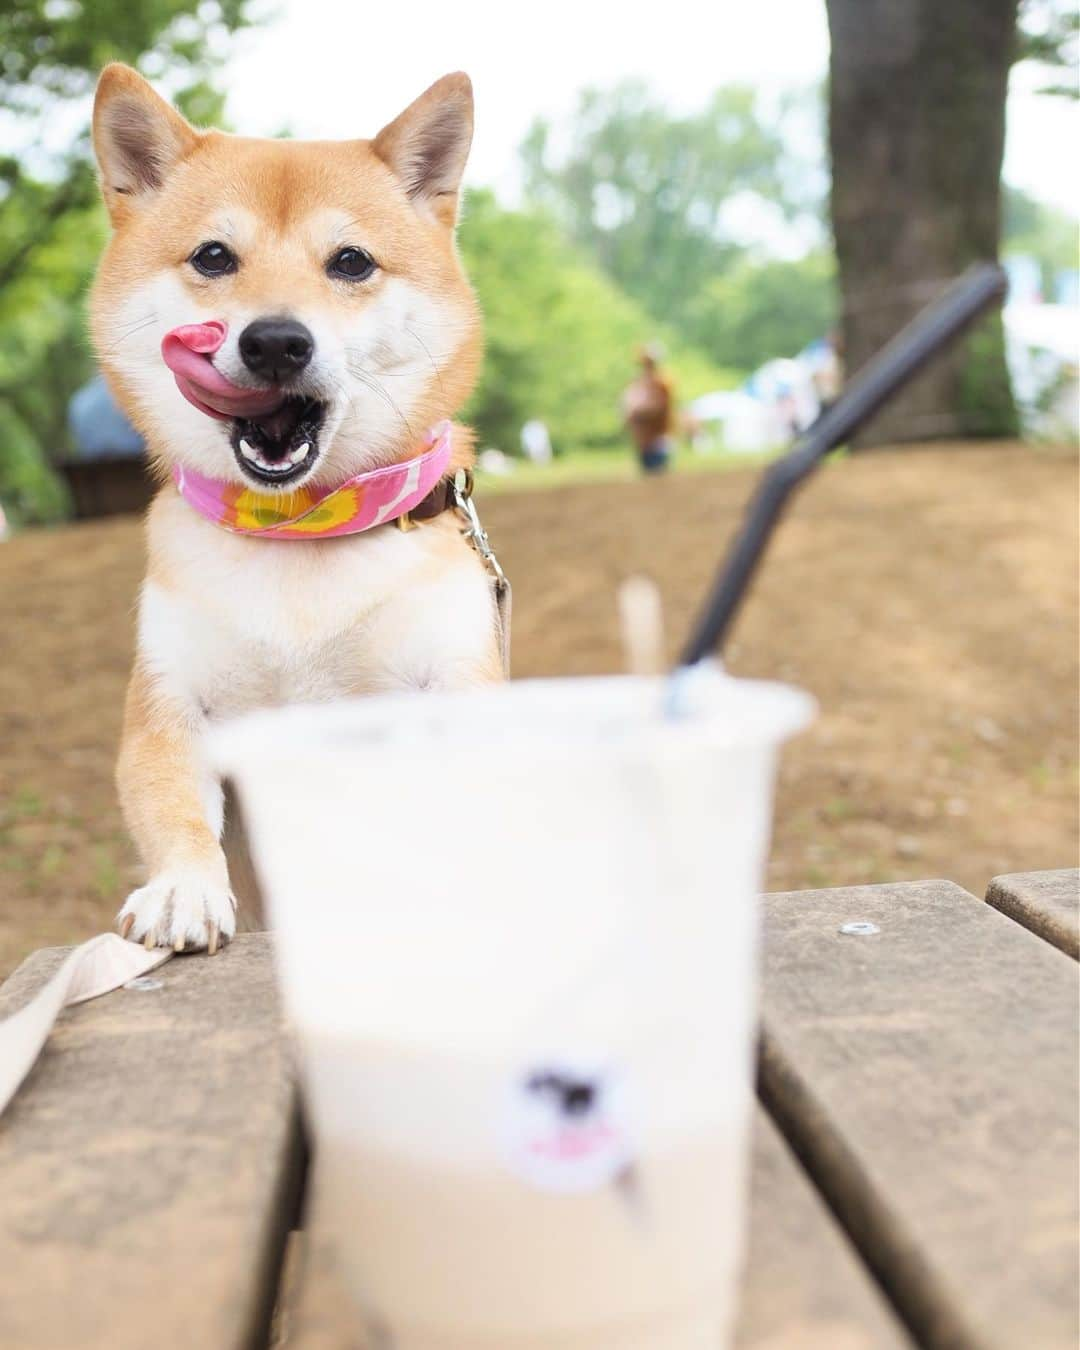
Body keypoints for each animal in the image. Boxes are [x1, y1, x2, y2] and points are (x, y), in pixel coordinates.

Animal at [90, 63, 504, 950]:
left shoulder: (453, 681)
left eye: (350, 262)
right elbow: (174, 811)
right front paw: (183, 888)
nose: (276, 340)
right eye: (214, 256)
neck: (296, 533)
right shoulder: (169, 708)